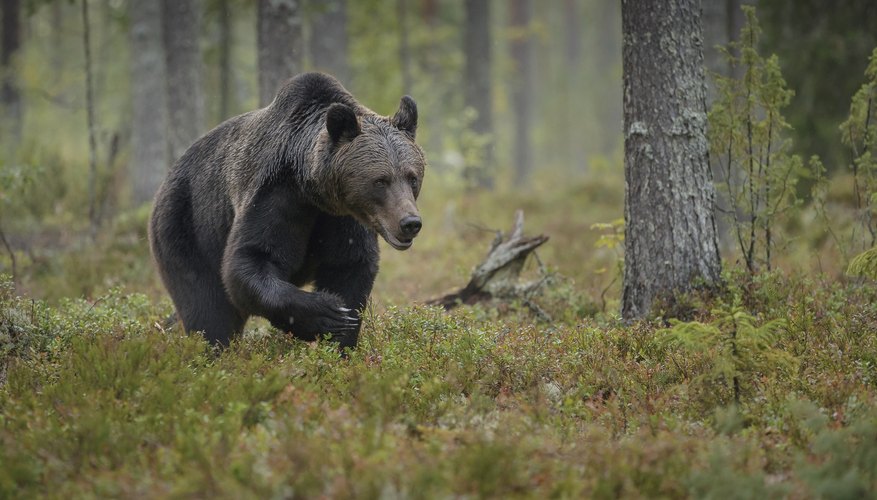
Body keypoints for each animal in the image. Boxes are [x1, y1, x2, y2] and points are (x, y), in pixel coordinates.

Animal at [150, 73, 428, 348]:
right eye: (380, 181)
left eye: (412, 177)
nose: (409, 222)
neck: (313, 191)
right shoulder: (275, 195)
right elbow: (250, 258)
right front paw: (326, 314)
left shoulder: (343, 217)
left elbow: (349, 265)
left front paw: (342, 337)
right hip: (186, 228)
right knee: (208, 310)